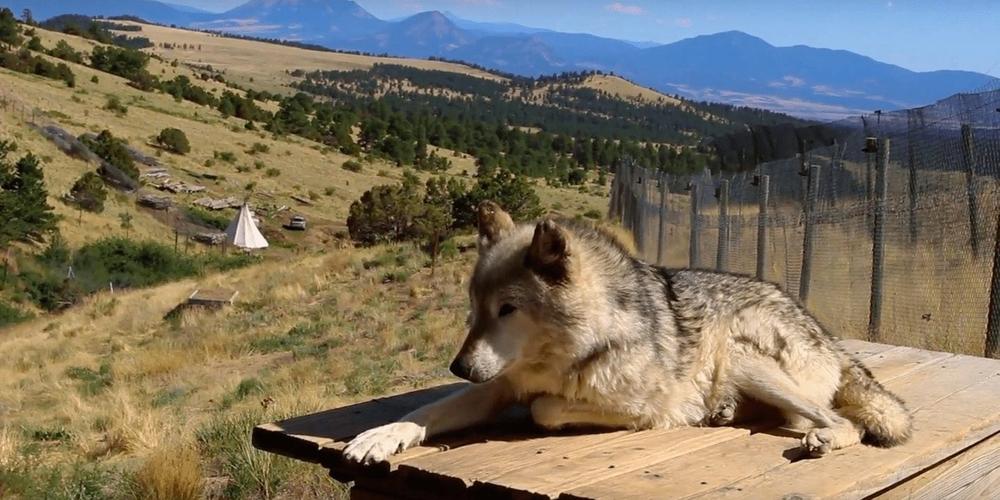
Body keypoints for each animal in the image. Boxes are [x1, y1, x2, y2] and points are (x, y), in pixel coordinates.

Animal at [343, 201, 912, 464]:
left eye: (508, 309)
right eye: (475, 308)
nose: (458, 367)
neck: (569, 353)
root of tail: (828, 335)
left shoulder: (644, 408)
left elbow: (544, 409)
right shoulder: (496, 385)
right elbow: (425, 412)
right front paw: (377, 437)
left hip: (743, 354)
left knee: (840, 419)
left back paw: (822, 436)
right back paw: (727, 410)